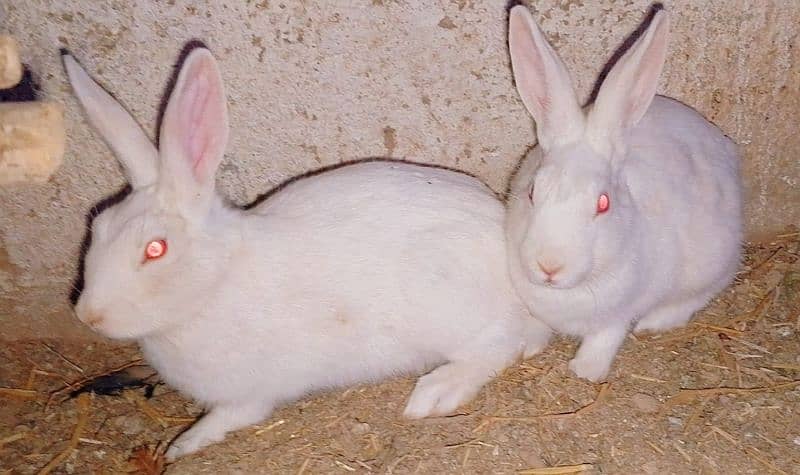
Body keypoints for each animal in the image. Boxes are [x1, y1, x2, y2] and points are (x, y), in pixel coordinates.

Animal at [65, 48, 552, 462]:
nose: (89, 316)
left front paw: (183, 445)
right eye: (98, 226)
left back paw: (435, 392)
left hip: (449, 308)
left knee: (497, 347)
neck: (216, 283)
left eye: (155, 249)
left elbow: (229, 417)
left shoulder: (250, 394)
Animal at [506, 6, 744, 384]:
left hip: (713, 259)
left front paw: (586, 371)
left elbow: (606, 336)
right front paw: (527, 346)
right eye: (532, 192)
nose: (549, 266)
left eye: (603, 204)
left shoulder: (620, 313)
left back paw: (654, 322)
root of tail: (724, 145)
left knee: (704, 292)